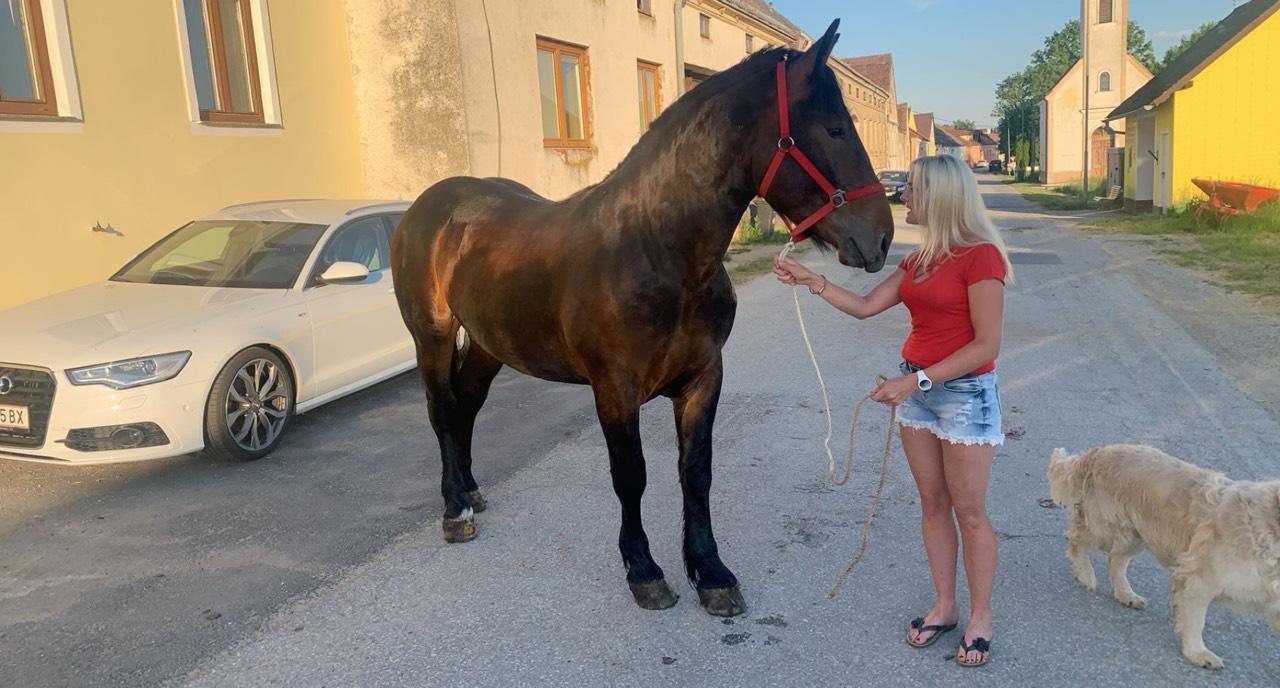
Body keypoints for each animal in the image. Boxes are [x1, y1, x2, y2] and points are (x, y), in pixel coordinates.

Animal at [391, 19, 892, 617]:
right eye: (835, 129)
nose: (881, 237)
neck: (657, 251)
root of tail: (431, 204)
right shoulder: (615, 389)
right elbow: (632, 477)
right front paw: (645, 571)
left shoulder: (703, 379)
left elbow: (695, 473)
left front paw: (711, 572)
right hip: (433, 336)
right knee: (443, 410)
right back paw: (454, 511)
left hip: (491, 344)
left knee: (465, 406)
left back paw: (469, 492)